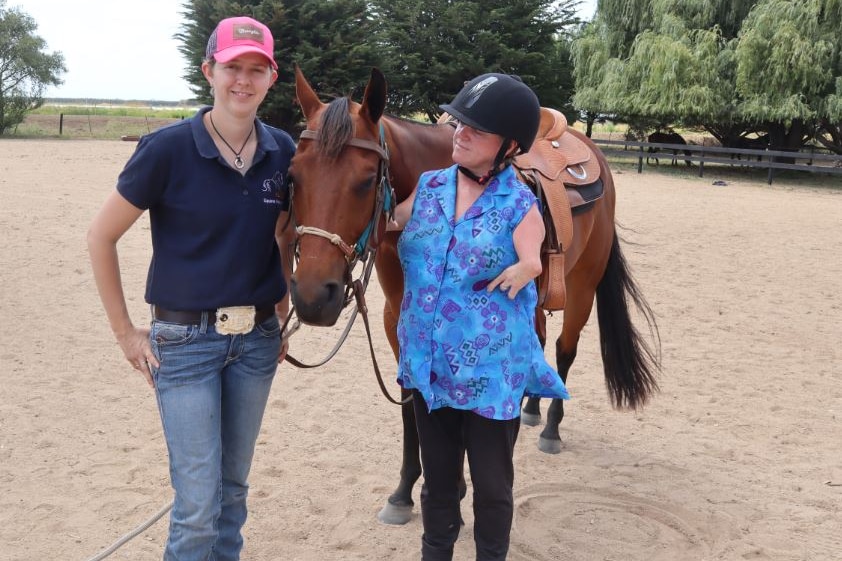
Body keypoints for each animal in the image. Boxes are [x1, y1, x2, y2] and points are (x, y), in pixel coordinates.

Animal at [286, 66, 660, 524]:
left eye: (365, 181)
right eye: (293, 175)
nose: (312, 297)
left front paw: (458, 486)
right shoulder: (399, 322)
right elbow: (413, 404)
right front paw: (404, 492)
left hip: (583, 287)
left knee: (563, 349)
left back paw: (550, 427)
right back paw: (531, 408)